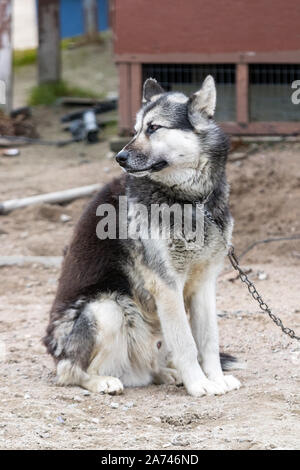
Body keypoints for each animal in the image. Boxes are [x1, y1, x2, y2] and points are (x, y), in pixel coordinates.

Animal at [44, 77, 241, 396]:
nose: (119, 157)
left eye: (153, 128)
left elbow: (208, 340)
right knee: (70, 370)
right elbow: (187, 344)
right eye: (136, 129)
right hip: (106, 309)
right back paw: (102, 381)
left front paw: (216, 378)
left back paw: (165, 374)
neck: (189, 199)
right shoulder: (166, 285)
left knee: (152, 365)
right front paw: (199, 384)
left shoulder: (205, 284)